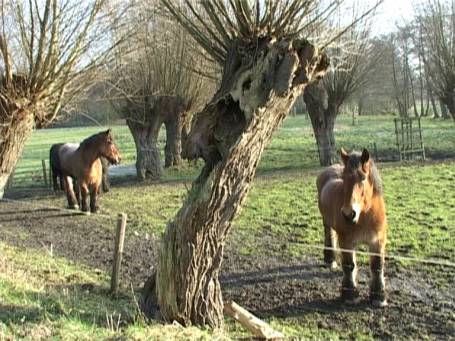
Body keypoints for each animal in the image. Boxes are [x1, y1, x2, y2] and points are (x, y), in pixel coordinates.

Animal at [318, 147, 388, 306]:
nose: (349, 214)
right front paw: (350, 294)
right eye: (344, 178)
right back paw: (330, 260)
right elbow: (349, 265)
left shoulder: (377, 241)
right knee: (329, 235)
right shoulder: (347, 241)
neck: (364, 216)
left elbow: (377, 266)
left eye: (363, 178)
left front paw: (379, 296)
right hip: (326, 222)